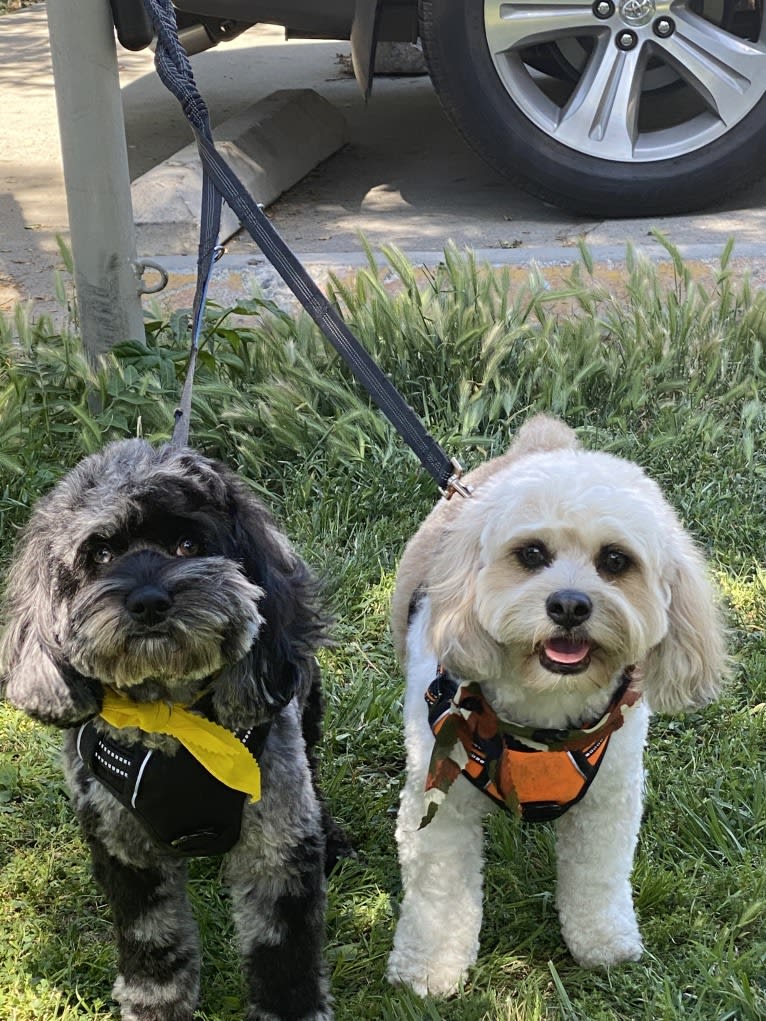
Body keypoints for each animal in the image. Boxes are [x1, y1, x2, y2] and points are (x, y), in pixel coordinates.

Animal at [0, 443, 347, 1021]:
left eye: (188, 544)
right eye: (100, 554)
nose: (148, 601)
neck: (171, 720)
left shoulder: (276, 846)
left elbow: (284, 952)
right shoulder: (125, 849)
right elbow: (152, 943)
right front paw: (156, 1006)